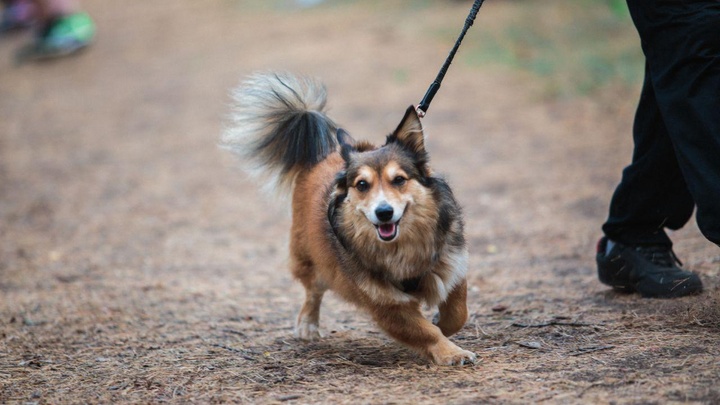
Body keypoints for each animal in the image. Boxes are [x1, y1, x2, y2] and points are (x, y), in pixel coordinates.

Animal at [222, 72, 476, 366]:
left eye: (399, 180)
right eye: (362, 185)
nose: (384, 212)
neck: (403, 247)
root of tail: (321, 155)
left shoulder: (452, 266)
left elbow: (458, 313)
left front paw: (443, 326)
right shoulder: (385, 302)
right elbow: (425, 331)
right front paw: (450, 351)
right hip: (312, 259)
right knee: (313, 292)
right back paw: (308, 324)